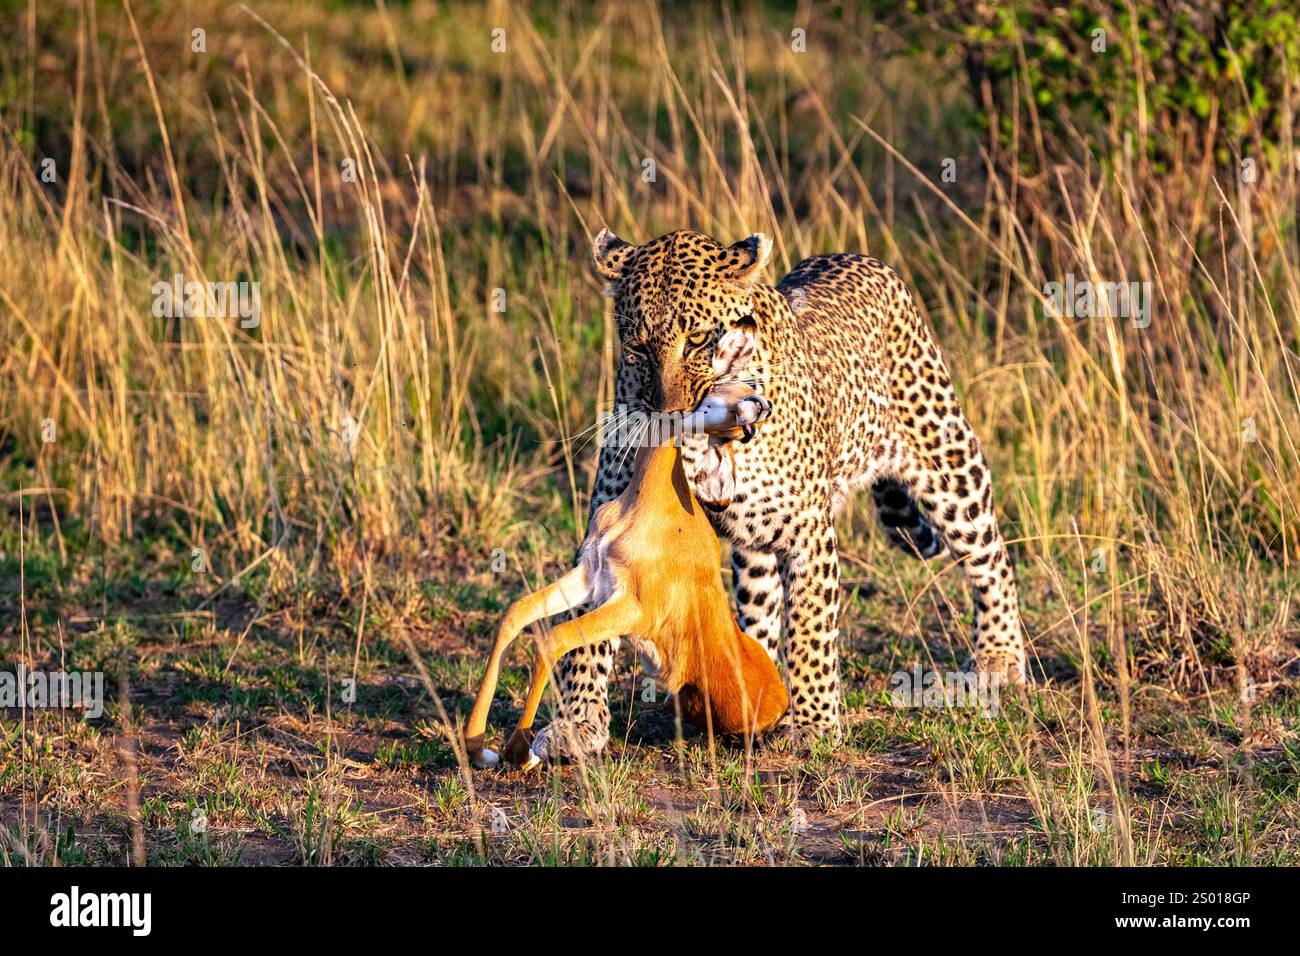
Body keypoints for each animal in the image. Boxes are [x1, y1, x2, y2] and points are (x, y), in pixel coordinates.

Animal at [528, 227, 1027, 762]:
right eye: (638, 347)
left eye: (698, 339)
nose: (667, 413)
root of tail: (856, 256)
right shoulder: (610, 522)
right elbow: (584, 634)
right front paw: (577, 725)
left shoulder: (808, 529)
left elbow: (811, 627)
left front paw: (814, 725)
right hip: (757, 543)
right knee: (759, 605)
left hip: (946, 458)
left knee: (989, 552)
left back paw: (999, 657)